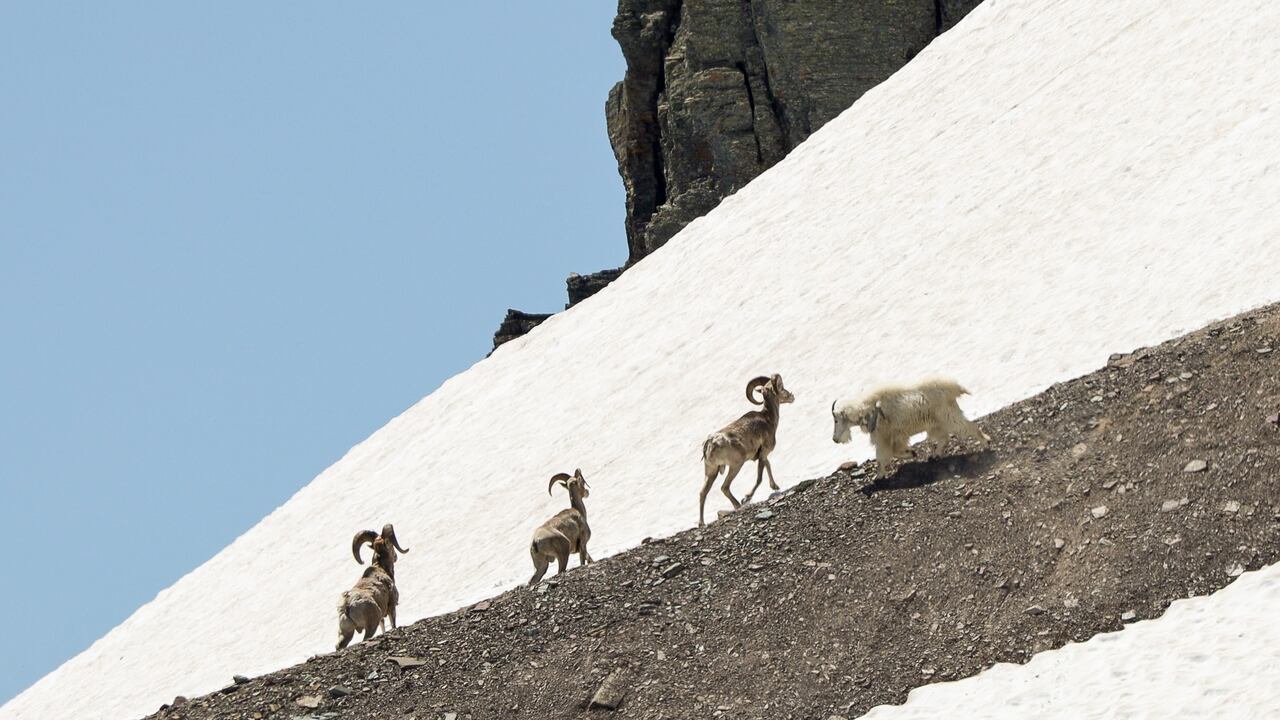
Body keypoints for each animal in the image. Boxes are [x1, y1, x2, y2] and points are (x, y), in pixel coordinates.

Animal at [699, 374, 795, 526]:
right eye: (780, 386)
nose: (791, 396)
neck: (768, 419)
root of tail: (710, 443)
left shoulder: (763, 456)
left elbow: (768, 465)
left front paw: (775, 486)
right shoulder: (763, 454)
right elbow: (759, 478)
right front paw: (747, 497)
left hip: (711, 471)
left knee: (703, 493)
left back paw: (701, 523)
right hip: (736, 465)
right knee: (724, 487)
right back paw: (739, 504)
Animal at [831, 378, 989, 477]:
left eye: (836, 420)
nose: (835, 439)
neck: (868, 409)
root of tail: (954, 389)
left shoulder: (883, 437)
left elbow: (882, 456)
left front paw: (879, 476)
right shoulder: (896, 436)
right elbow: (895, 451)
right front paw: (911, 453)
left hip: (948, 417)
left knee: (968, 427)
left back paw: (986, 442)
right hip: (936, 423)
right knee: (944, 438)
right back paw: (934, 455)